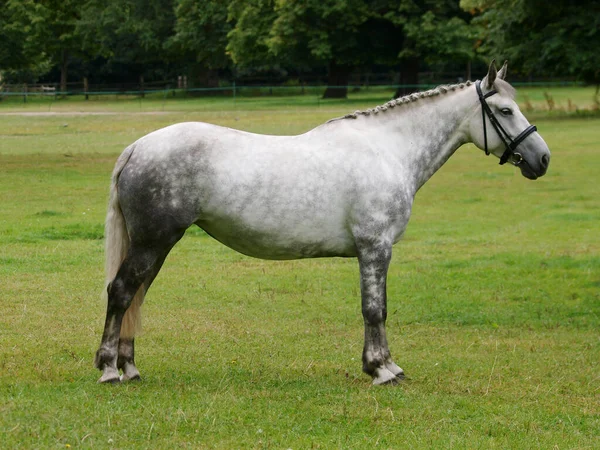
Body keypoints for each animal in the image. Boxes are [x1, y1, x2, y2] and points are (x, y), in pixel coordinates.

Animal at [96, 62, 552, 386]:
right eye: (505, 110)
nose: (542, 159)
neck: (388, 150)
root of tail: (138, 146)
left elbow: (378, 308)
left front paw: (384, 366)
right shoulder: (375, 247)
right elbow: (374, 309)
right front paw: (382, 369)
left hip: (155, 245)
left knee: (136, 297)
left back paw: (130, 367)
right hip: (153, 242)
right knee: (121, 293)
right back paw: (109, 370)